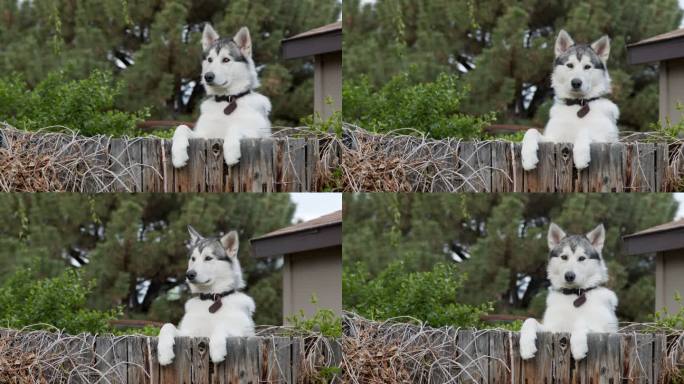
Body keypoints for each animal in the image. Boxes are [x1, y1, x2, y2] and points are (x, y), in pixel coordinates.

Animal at [158, 226, 256, 364]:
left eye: (208, 258)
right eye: (193, 258)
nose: (189, 274)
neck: (211, 299)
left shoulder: (242, 332)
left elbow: (221, 326)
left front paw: (217, 350)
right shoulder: (189, 334)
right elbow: (167, 326)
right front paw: (164, 352)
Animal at [171, 24, 272, 168]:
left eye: (226, 60)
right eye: (210, 59)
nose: (208, 76)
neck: (226, 101)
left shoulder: (258, 132)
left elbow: (235, 127)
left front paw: (231, 152)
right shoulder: (204, 136)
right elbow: (181, 128)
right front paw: (178, 154)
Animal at [520, 224, 620, 362]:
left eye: (581, 258)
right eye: (564, 257)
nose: (569, 276)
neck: (574, 295)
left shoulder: (604, 330)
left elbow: (581, 323)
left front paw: (578, 346)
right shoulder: (552, 329)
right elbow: (529, 320)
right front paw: (526, 346)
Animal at [524, 30, 620, 172]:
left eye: (587, 67)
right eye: (570, 65)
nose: (576, 82)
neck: (578, 105)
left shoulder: (608, 139)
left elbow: (584, 131)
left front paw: (581, 155)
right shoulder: (553, 139)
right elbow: (531, 131)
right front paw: (527, 157)